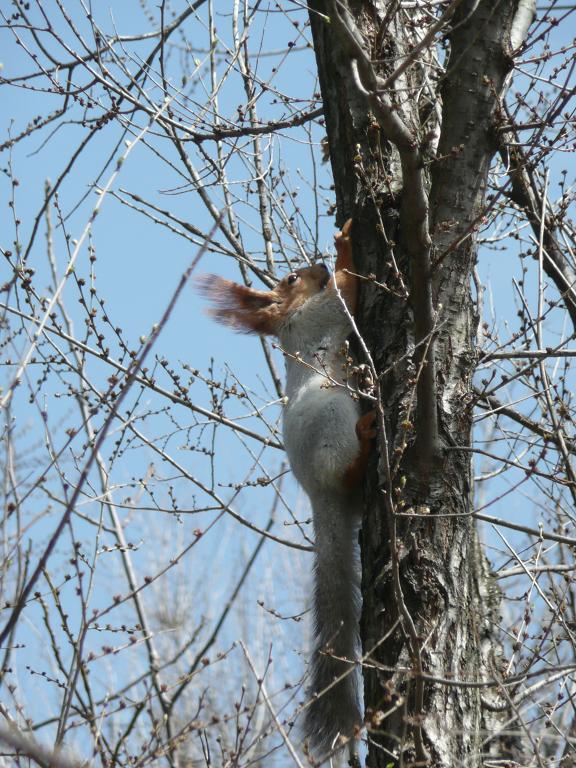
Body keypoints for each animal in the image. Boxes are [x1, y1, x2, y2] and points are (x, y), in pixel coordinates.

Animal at [200, 219, 376, 760]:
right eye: (294, 277)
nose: (314, 265)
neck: (289, 324)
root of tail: (321, 499)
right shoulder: (325, 312)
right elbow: (347, 290)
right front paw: (343, 248)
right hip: (332, 420)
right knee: (348, 466)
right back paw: (366, 440)